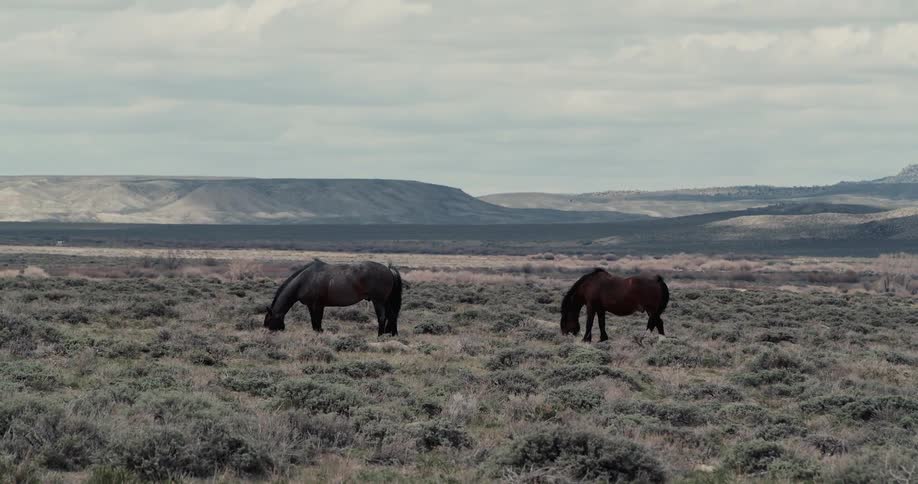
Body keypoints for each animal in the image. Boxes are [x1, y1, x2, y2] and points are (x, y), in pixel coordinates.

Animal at [264, 259, 403, 336]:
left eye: (269, 322)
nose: (269, 335)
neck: (305, 280)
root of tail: (389, 270)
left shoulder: (316, 305)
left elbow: (316, 322)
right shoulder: (314, 306)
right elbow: (316, 322)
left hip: (378, 301)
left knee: (382, 317)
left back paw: (379, 336)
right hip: (386, 301)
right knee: (392, 316)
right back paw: (392, 334)